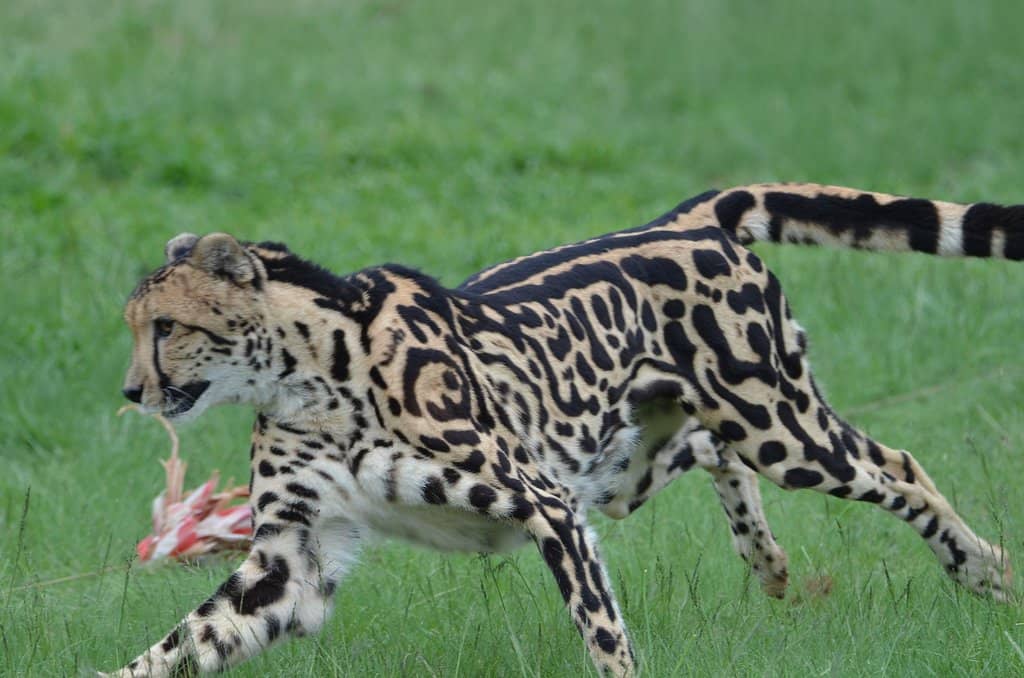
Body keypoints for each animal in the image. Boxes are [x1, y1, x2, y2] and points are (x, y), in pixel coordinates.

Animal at [110, 183, 1020, 677]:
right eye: (135, 327)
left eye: (166, 327)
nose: (129, 389)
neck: (312, 371)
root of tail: (685, 220)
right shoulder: (289, 564)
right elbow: (172, 649)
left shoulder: (547, 504)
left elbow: (603, 632)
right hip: (622, 465)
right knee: (707, 446)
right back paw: (766, 558)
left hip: (779, 429)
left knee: (897, 464)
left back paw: (982, 568)